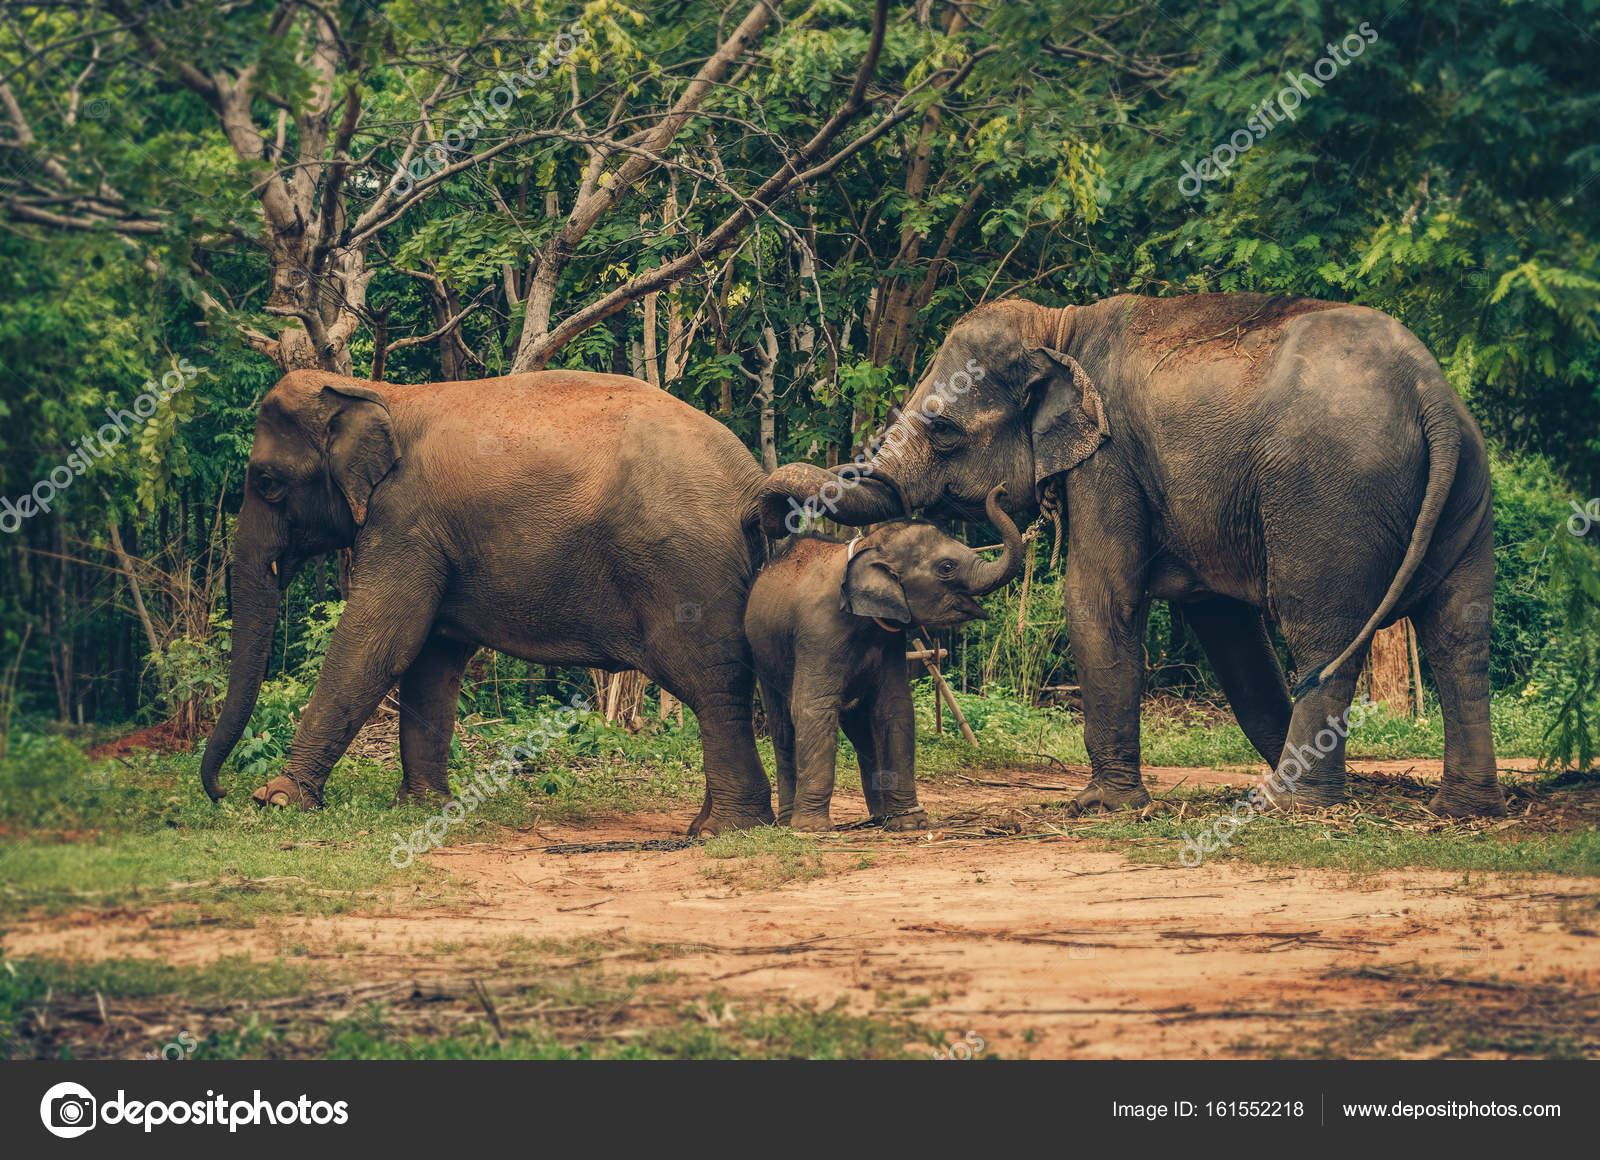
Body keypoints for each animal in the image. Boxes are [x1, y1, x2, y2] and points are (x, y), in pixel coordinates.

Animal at [200, 369, 775, 835]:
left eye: (267, 482)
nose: (221, 792)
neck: (380, 393)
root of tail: (750, 481)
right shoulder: (429, 537)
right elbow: (432, 660)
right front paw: (423, 808)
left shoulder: (405, 522)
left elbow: (379, 642)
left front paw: (277, 800)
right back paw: (713, 824)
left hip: (687, 572)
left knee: (713, 685)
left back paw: (723, 830)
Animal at [746, 484, 1024, 832]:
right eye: (947, 567)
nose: (1000, 490)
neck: (867, 548)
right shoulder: (817, 631)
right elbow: (813, 708)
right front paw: (812, 829)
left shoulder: (890, 638)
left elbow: (895, 708)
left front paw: (911, 822)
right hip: (762, 655)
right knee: (784, 727)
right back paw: (789, 822)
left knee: (861, 733)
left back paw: (879, 817)